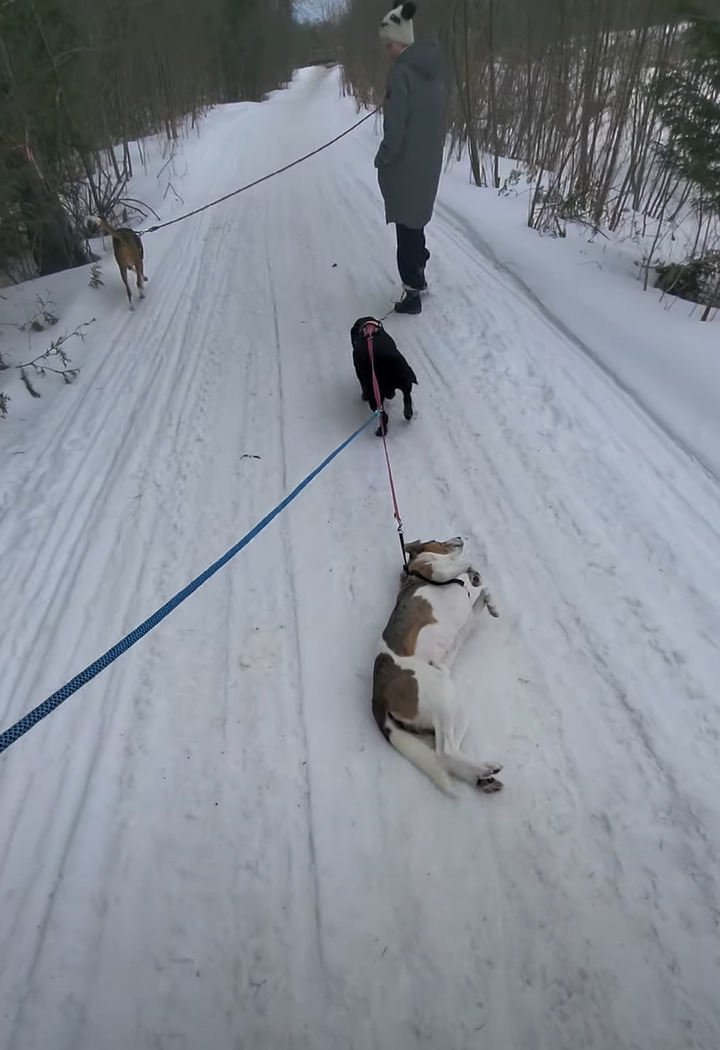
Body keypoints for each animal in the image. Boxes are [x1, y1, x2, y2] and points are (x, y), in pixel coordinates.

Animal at [375, 533, 505, 793]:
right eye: (436, 539)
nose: (459, 536)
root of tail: (377, 694)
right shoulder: (435, 570)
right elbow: (466, 562)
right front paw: (474, 573)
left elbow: (483, 593)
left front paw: (491, 603)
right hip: (440, 692)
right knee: (444, 753)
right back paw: (482, 772)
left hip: (456, 706)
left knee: (448, 751)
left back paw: (482, 776)